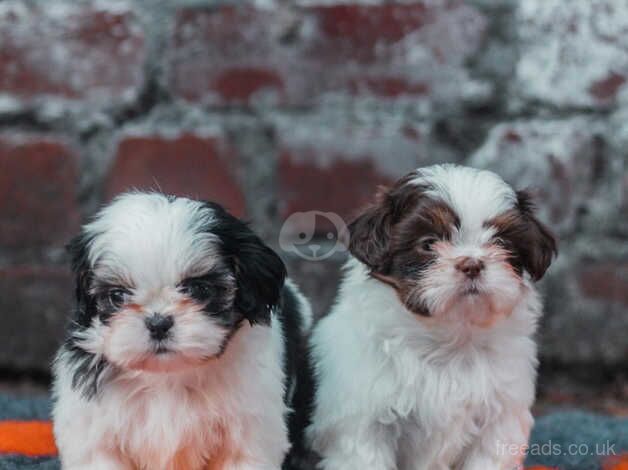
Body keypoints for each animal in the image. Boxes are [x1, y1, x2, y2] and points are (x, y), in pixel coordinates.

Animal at [52, 192, 312, 470]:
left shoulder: (249, 428)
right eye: (117, 296)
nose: (158, 323)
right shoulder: (94, 431)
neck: (168, 375)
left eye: (198, 289)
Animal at [306, 164, 556, 470]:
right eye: (428, 244)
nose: (472, 264)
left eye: (500, 242)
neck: (448, 340)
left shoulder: (500, 420)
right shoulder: (363, 423)